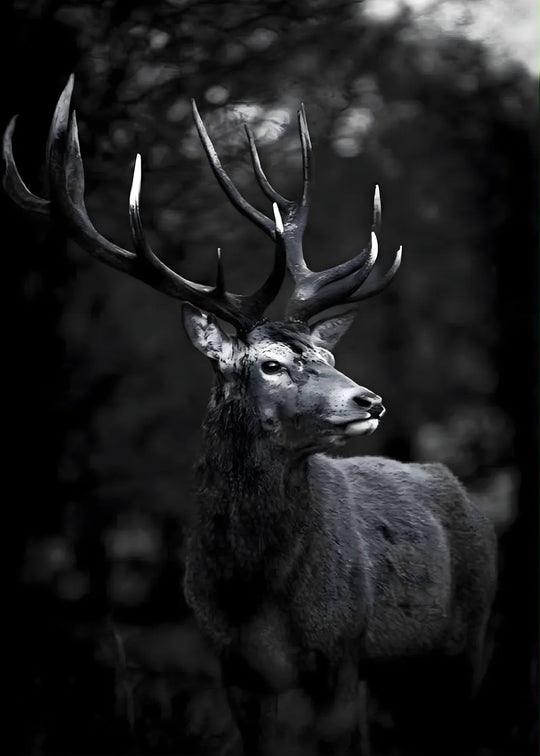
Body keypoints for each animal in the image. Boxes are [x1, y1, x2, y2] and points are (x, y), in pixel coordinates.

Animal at [4, 76, 497, 756]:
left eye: (328, 355)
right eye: (270, 364)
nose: (369, 400)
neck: (255, 595)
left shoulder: (341, 649)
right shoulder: (232, 667)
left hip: (469, 637)